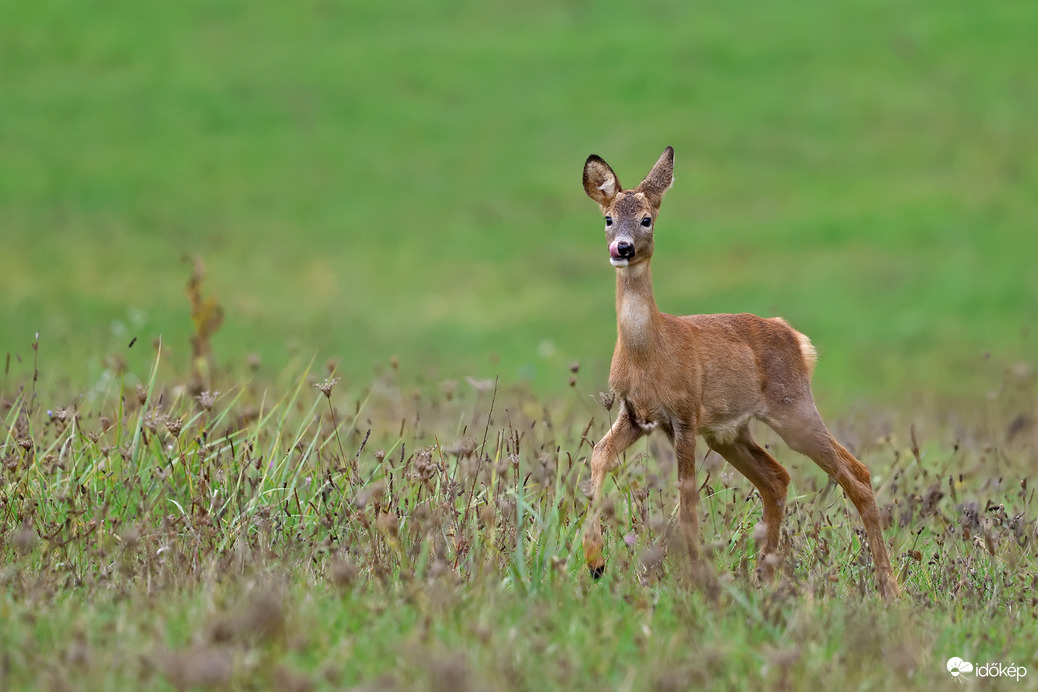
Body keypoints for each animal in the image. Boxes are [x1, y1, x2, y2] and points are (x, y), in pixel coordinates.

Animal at [581, 147, 896, 601]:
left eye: (646, 219)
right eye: (607, 218)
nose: (621, 248)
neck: (647, 352)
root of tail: (796, 338)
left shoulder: (684, 415)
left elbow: (688, 501)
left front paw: (695, 579)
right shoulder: (635, 415)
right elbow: (598, 457)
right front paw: (595, 562)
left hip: (792, 408)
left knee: (856, 474)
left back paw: (889, 587)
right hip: (731, 432)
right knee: (778, 478)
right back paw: (765, 575)